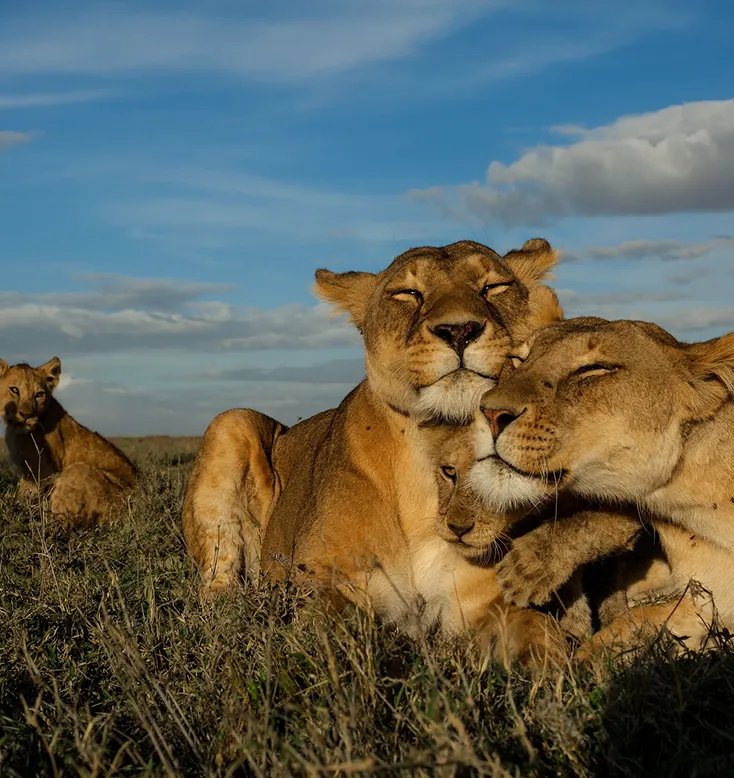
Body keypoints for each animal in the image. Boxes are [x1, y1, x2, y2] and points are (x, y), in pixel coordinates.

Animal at [0, 357, 137, 524]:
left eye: (39, 394)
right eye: (14, 390)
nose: (27, 415)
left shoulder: (41, 472)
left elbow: (28, 495)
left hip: (77, 471)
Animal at [183, 239, 565, 658]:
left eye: (493, 286)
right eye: (409, 293)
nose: (459, 329)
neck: (428, 456)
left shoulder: (481, 604)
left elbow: (543, 635)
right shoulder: (324, 581)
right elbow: (336, 629)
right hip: (232, 421)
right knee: (217, 580)